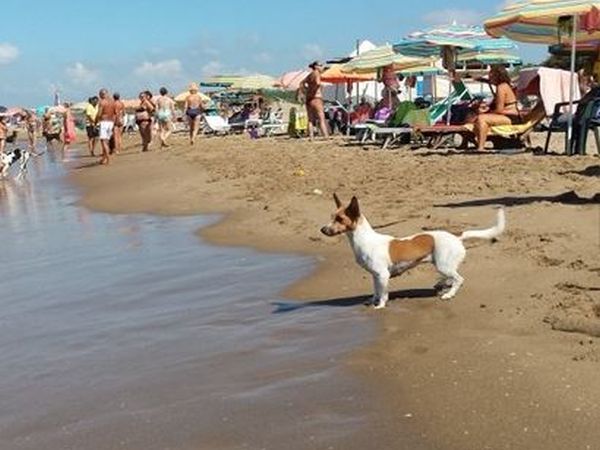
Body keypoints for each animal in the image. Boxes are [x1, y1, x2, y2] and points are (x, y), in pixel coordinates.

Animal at [322, 194, 504, 310]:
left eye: (340, 219)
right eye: (332, 216)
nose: (322, 229)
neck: (363, 239)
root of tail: (456, 236)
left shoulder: (383, 275)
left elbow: (383, 293)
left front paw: (380, 306)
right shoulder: (375, 276)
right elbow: (376, 291)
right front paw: (373, 300)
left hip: (443, 265)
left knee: (459, 279)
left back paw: (449, 294)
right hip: (443, 265)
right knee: (451, 277)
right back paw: (442, 285)